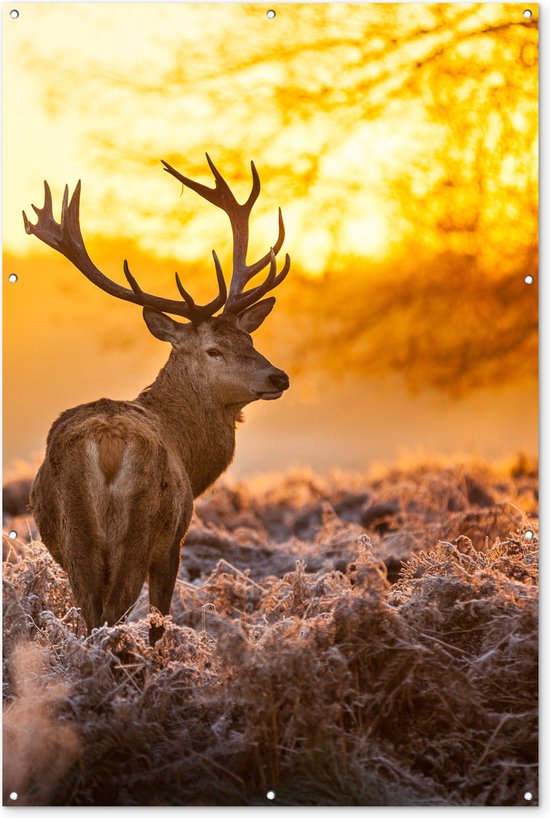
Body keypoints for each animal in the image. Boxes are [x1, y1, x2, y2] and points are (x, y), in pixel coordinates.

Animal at [24, 155, 294, 644]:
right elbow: (159, 624)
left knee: (92, 617)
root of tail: (107, 445)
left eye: (249, 339)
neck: (190, 453)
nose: (278, 376)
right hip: (141, 530)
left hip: (75, 538)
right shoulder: (174, 542)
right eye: (214, 349)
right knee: (112, 617)